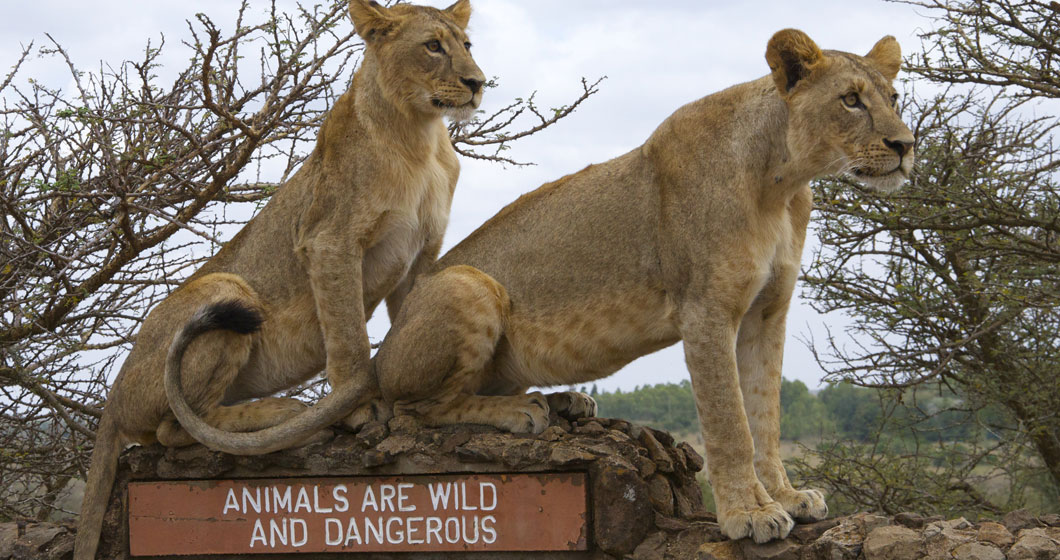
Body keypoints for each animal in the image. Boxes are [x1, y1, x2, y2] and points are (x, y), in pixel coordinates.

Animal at [74, 2, 485, 555]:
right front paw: (358, 409)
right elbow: (349, 338)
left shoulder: (423, 252)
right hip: (227, 292)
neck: (420, 135)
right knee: (173, 430)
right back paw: (285, 415)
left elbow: (415, 327)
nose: (479, 83)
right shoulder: (329, 239)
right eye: (433, 46)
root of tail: (113, 401)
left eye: (467, 44)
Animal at [368, 29, 915, 543]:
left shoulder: (767, 312)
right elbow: (731, 423)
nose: (906, 147)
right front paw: (751, 514)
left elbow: (766, 415)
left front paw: (788, 497)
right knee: (416, 408)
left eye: (893, 98)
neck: (782, 181)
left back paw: (566, 402)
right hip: (468, 285)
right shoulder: (706, 309)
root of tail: (379, 354)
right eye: (851, 99)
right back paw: (522, 410)